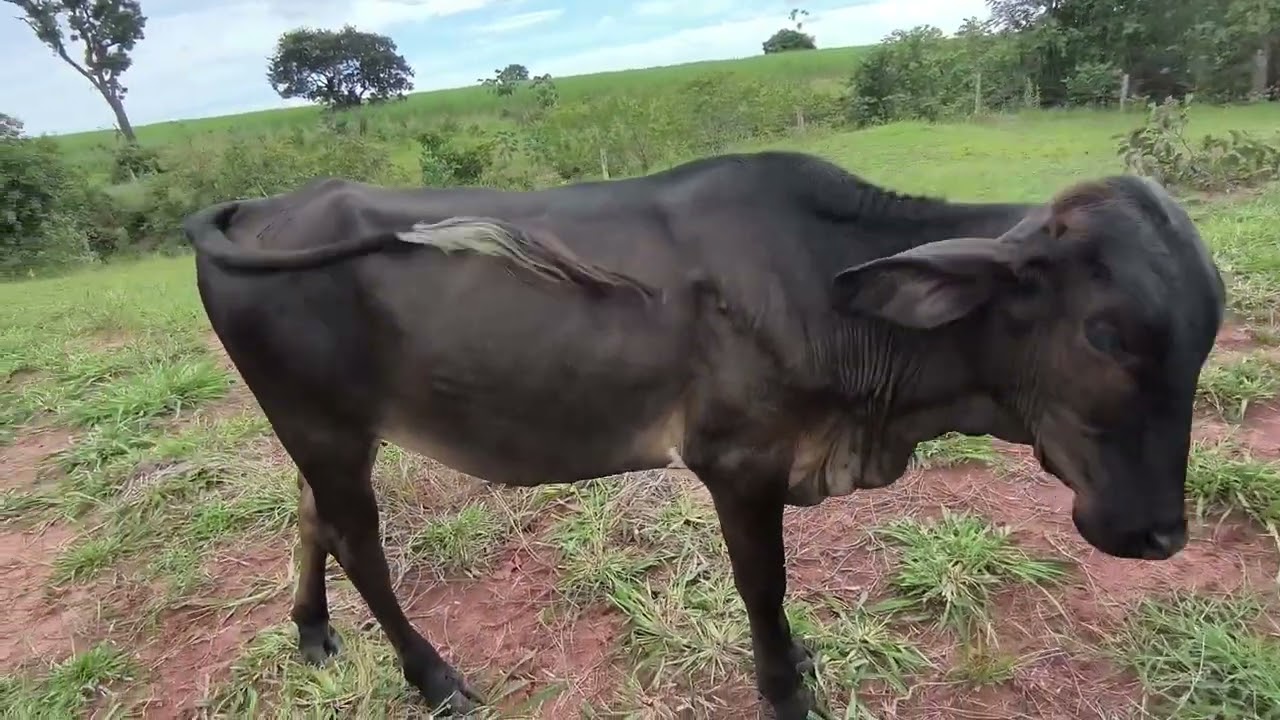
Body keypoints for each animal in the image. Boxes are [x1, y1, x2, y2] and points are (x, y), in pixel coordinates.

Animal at [180, 150, 1225, 719]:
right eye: (1107, 334)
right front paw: (785, 689)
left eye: (1206, 333)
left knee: (311, 517)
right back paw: (434, 679)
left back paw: (312, 634)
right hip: (324, 425)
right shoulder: (739, 463)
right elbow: (765, 588)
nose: (1160, 534)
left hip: (320, 431)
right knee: (359, 542)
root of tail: (262, 207)